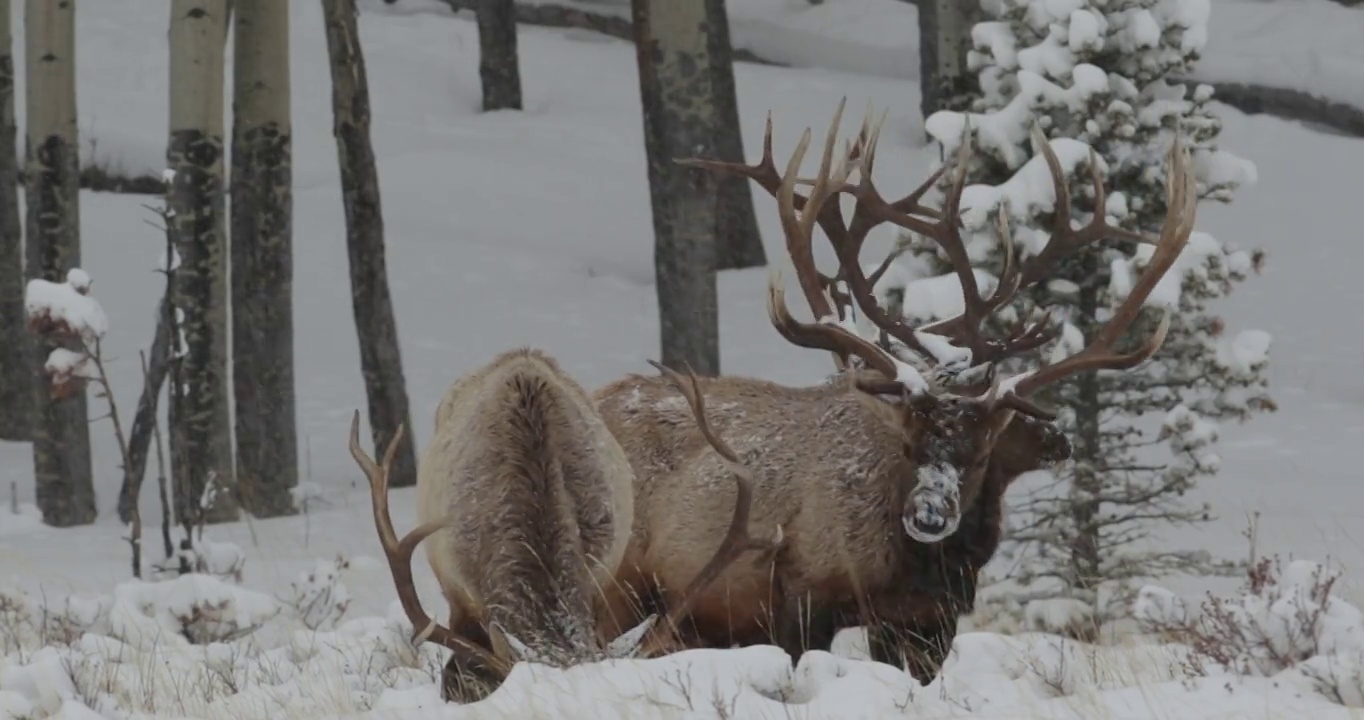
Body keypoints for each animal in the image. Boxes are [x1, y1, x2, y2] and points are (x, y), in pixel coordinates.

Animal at [594, 99, 1194, 681]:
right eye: (908, 444)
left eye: (981, 452)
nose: (928, 515)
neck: (913, 568)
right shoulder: (803, 591)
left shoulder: (926, 619)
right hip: (615, 579)